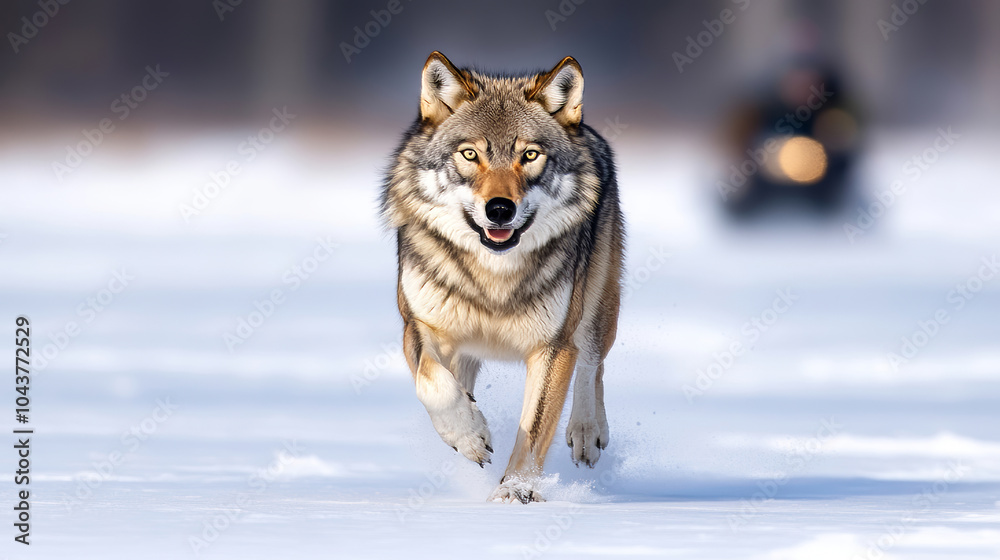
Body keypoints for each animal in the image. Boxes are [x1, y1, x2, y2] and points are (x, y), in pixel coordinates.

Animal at [381, 52, 624, 503]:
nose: (499, 209)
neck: (493, 276)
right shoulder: (418, 325)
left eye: (529, 155)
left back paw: (587, 433)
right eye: (470, 154)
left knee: (592, 364)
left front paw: (516, 492)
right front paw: (468, 435)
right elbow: (433, 383)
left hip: (596, 309)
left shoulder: (553, 347)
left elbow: (533, 430)